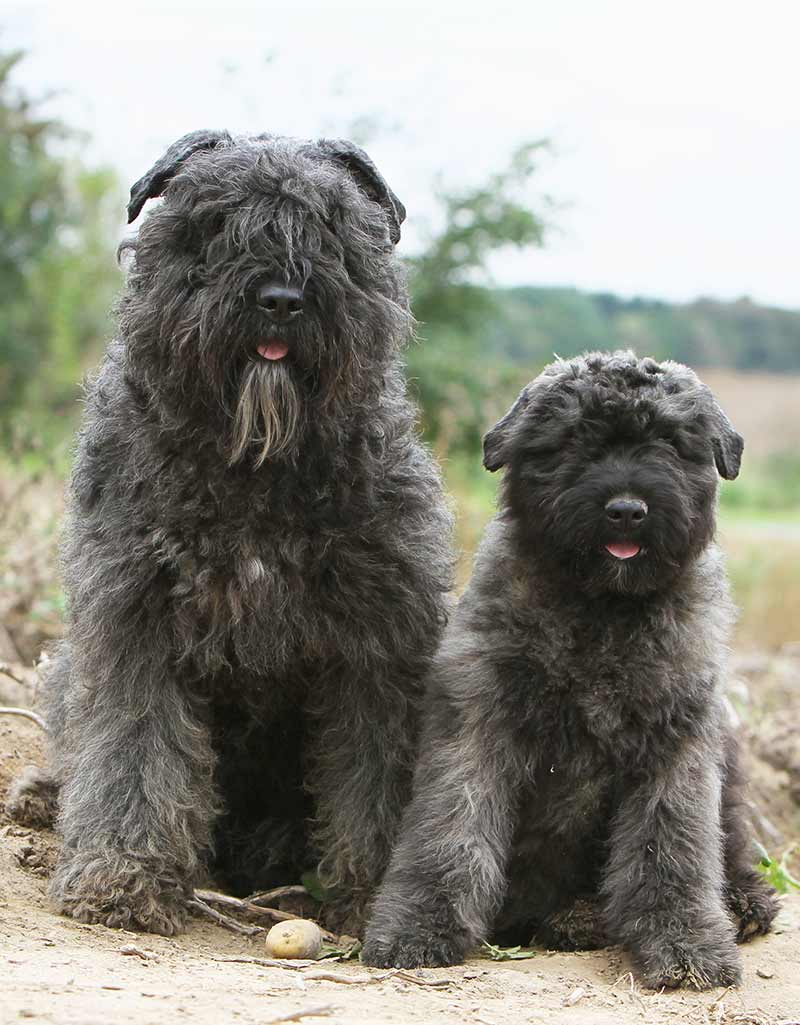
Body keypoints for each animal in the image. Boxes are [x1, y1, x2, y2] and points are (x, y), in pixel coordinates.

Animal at [9, 128, 453, 938]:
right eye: (215, 224)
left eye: (333, 227)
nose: (280, 298)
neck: (255, 466)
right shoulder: (137, 621)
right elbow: (133, 752)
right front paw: (123, 877)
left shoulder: (380, 644)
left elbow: (376, 769)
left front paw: (376, 893)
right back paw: (44, 796)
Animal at [365, 350, 779, 984]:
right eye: (573, 439)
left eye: (669, 441)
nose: (627, 510)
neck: (601, 611)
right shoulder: (476, 725)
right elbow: (450, 830)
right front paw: (417, 927)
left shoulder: (674, 745)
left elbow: (674, 848)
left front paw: (687, 946)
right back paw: (576, 918)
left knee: (729, 845)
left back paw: (737, 902)